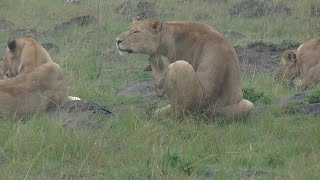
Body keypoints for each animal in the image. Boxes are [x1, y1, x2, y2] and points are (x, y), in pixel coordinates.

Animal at [116, 17, 254, 119]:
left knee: (177, 114)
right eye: (129, 29)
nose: (117, 40)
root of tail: (206, 111)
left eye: (136, 32)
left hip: (180, 68)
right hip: (247, 105)